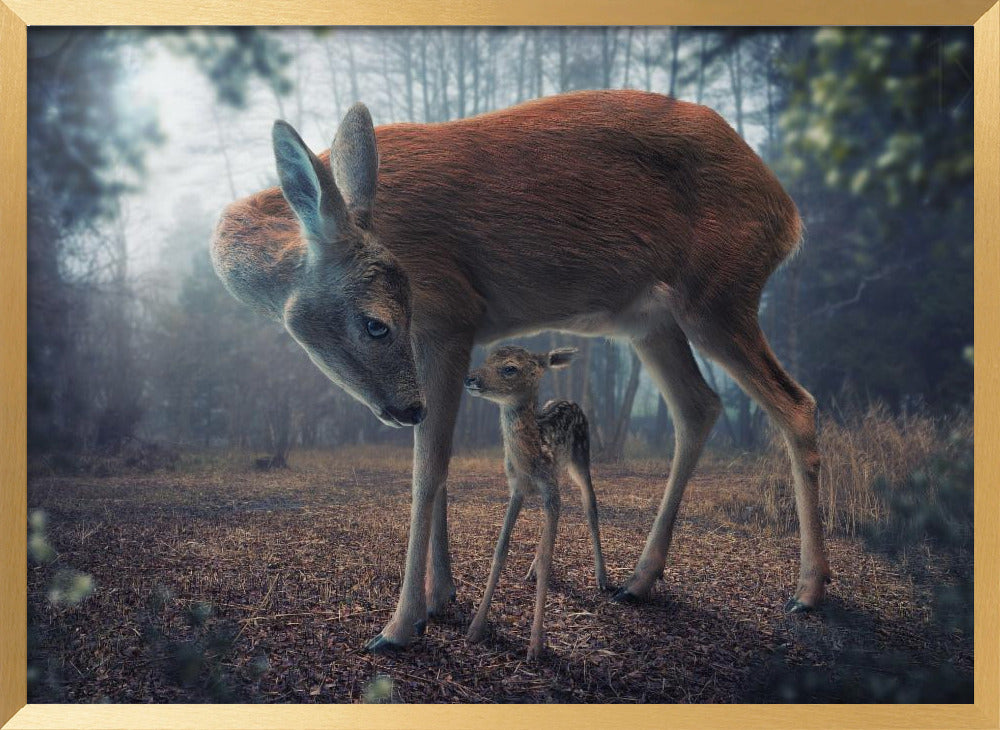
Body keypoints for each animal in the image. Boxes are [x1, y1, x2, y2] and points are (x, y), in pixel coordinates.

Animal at [463, 345, 607, 659]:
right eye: (488, 357)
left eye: (510, 368)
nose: (470, 378)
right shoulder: (516, 488)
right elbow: (501, 548)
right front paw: (475, 628)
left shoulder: (550, 488)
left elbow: (549, 555)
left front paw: (536, 645)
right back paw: (531, 569)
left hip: (581, 458)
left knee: (590, 506)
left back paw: (602, 578)